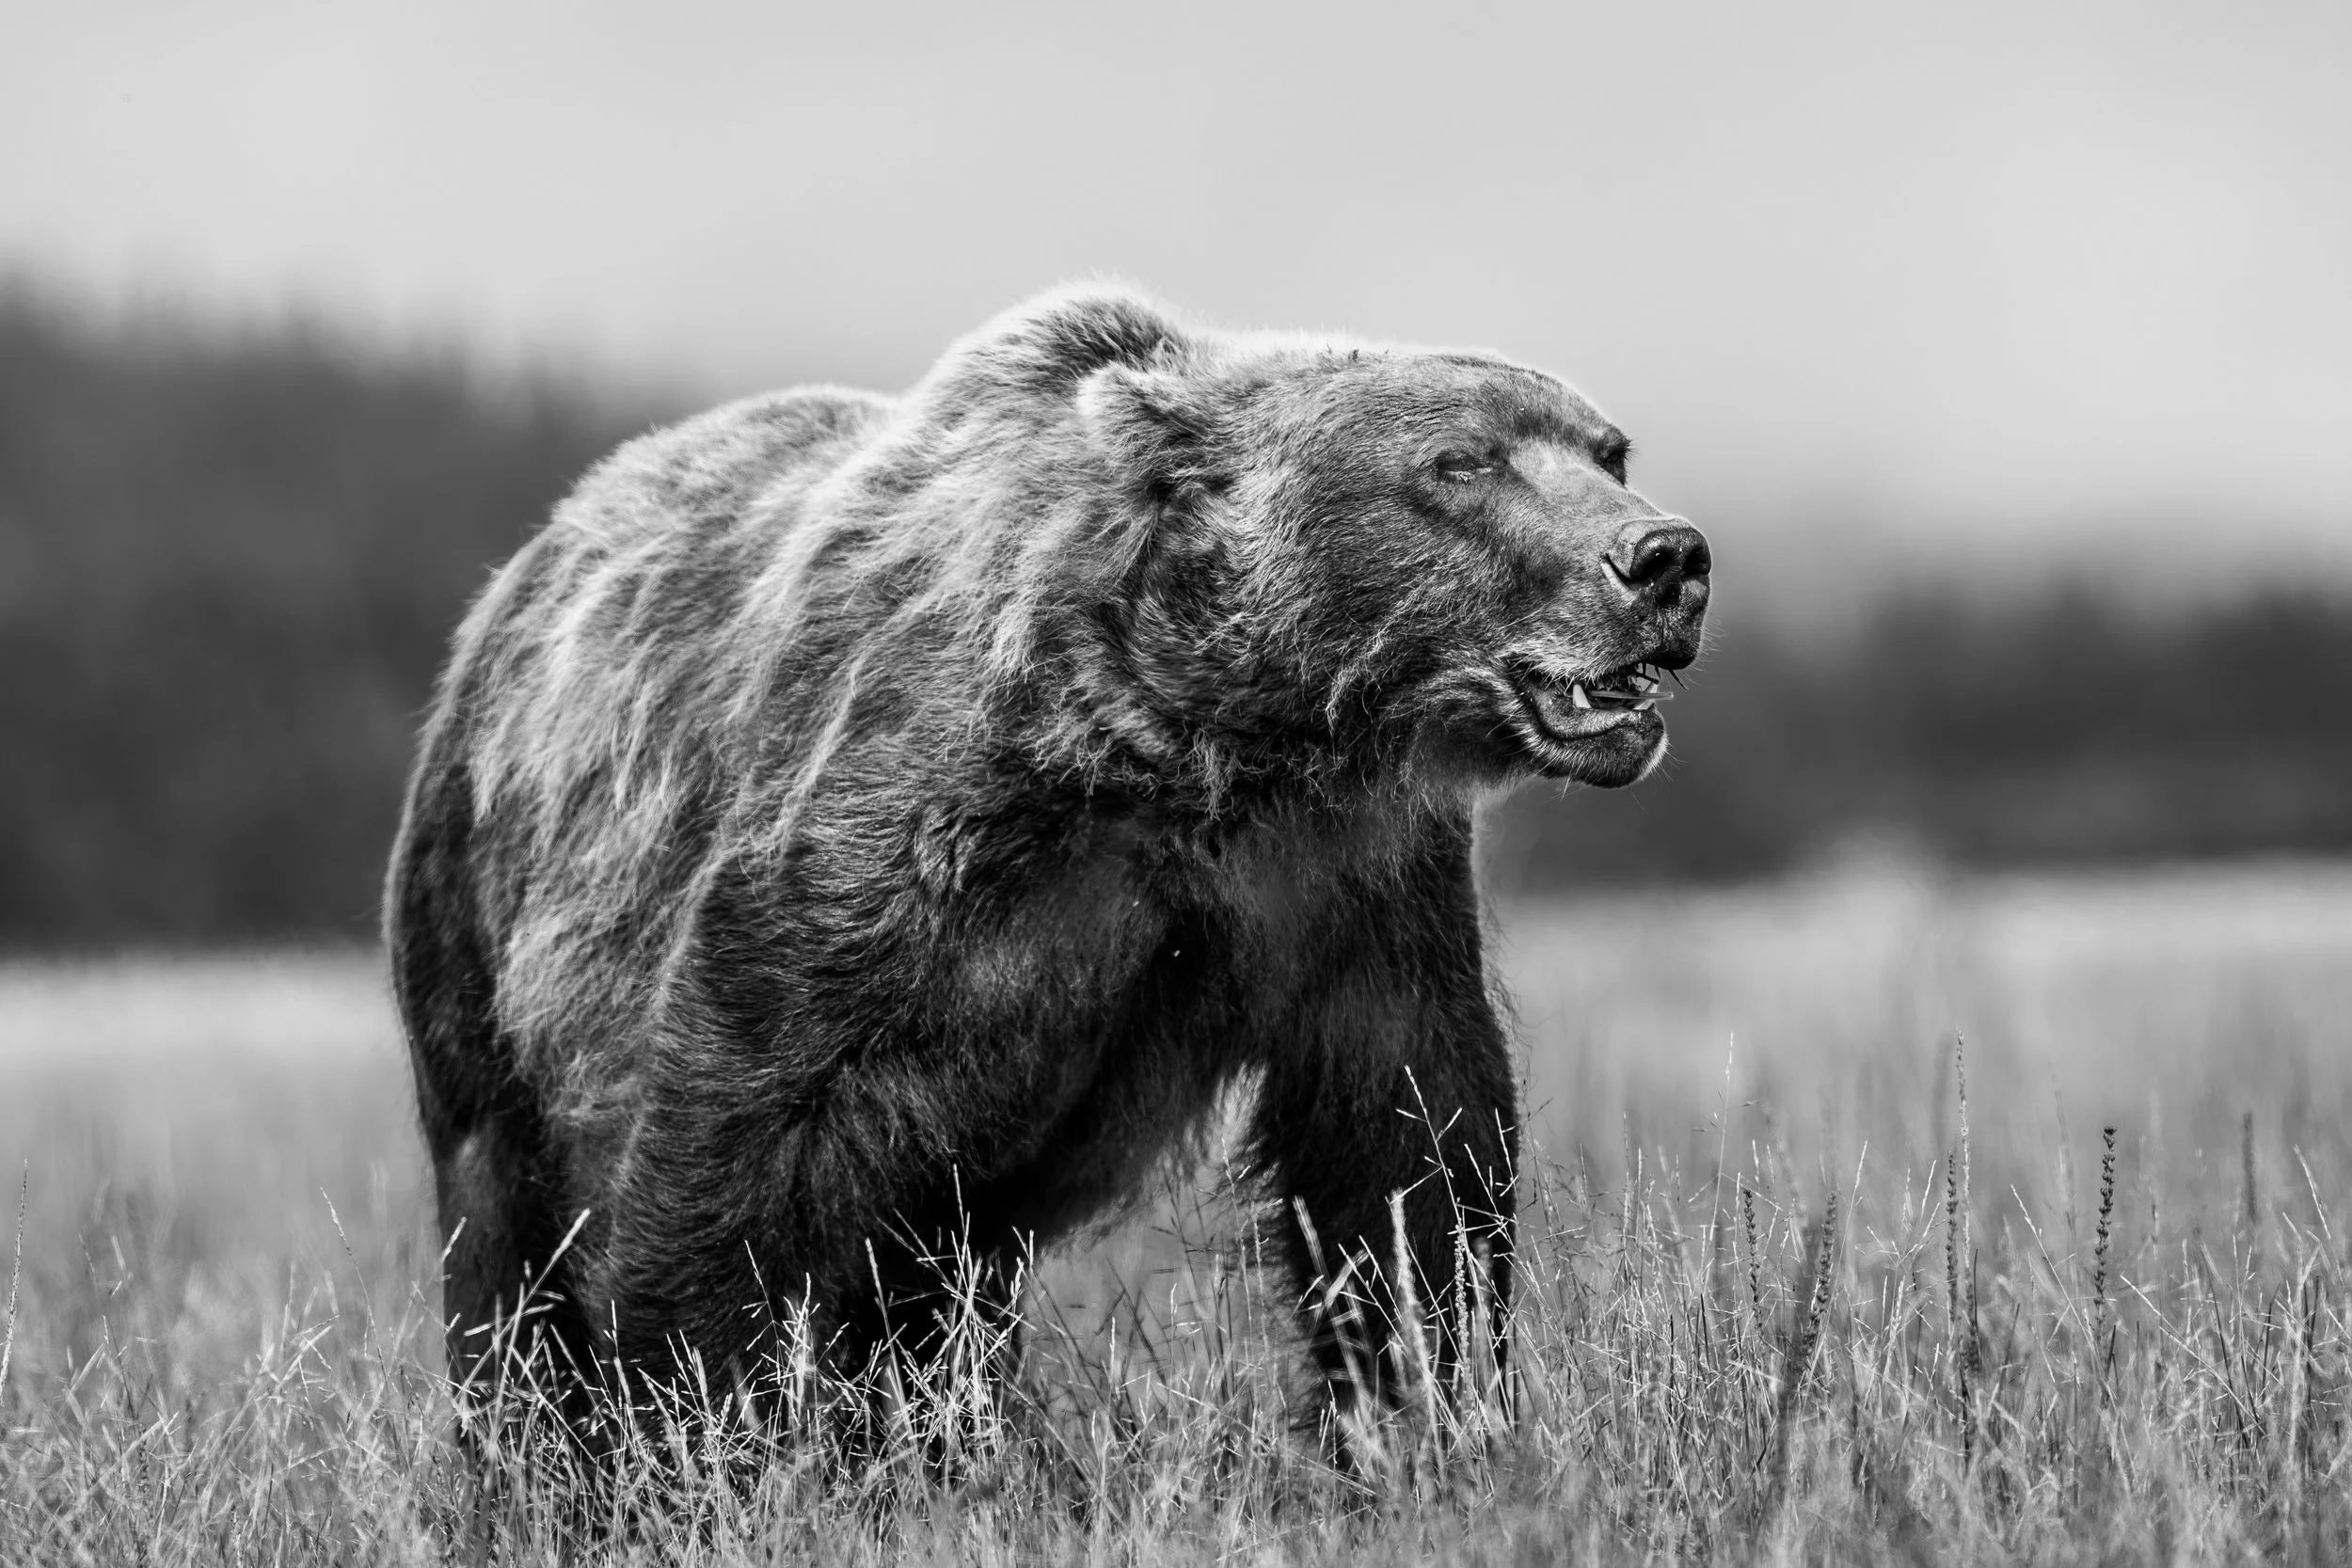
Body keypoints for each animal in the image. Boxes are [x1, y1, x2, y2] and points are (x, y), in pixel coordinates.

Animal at [385, 285, 1710, 1461]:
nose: (1664, 554)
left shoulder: (1345, 874)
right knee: (502, 1235)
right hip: (478, 933)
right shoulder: (891, 840)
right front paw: (702, 1446)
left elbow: (1405, 1151)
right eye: (1458, 462)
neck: (1194, 736)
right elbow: (741, 1130)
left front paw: (1425, 1417)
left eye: (1606, 447)